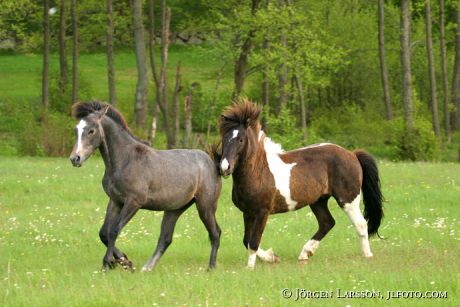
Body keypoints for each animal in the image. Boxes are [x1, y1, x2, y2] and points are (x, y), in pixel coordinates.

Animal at [68, 102, 223, 274]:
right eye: (76, 130)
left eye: (91, 130)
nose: (75, 158)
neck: (125, 160)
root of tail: (213, 163)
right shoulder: (115, 201)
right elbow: (104, 233)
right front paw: (124, 261)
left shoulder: (134, 202)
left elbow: (114, 230)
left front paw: (108, 264)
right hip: (175, 209)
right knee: (165, 238)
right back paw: (147, 268)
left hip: (205, 206)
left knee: (215, 233)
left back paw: (211, 268)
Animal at [217, 100, 382, 270]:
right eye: (223, 138)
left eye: (241, 139)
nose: (224, 168)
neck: (258, 171)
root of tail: (352, 154)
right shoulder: (248, 212)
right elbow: (246, 240)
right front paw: (272, 257)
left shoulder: (262, 212)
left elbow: (253, 242)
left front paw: (250, 268)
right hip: (318, 201)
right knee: (327, 223)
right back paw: (305, 254)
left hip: (348, 200)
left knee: (361, 224)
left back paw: (367, 255)